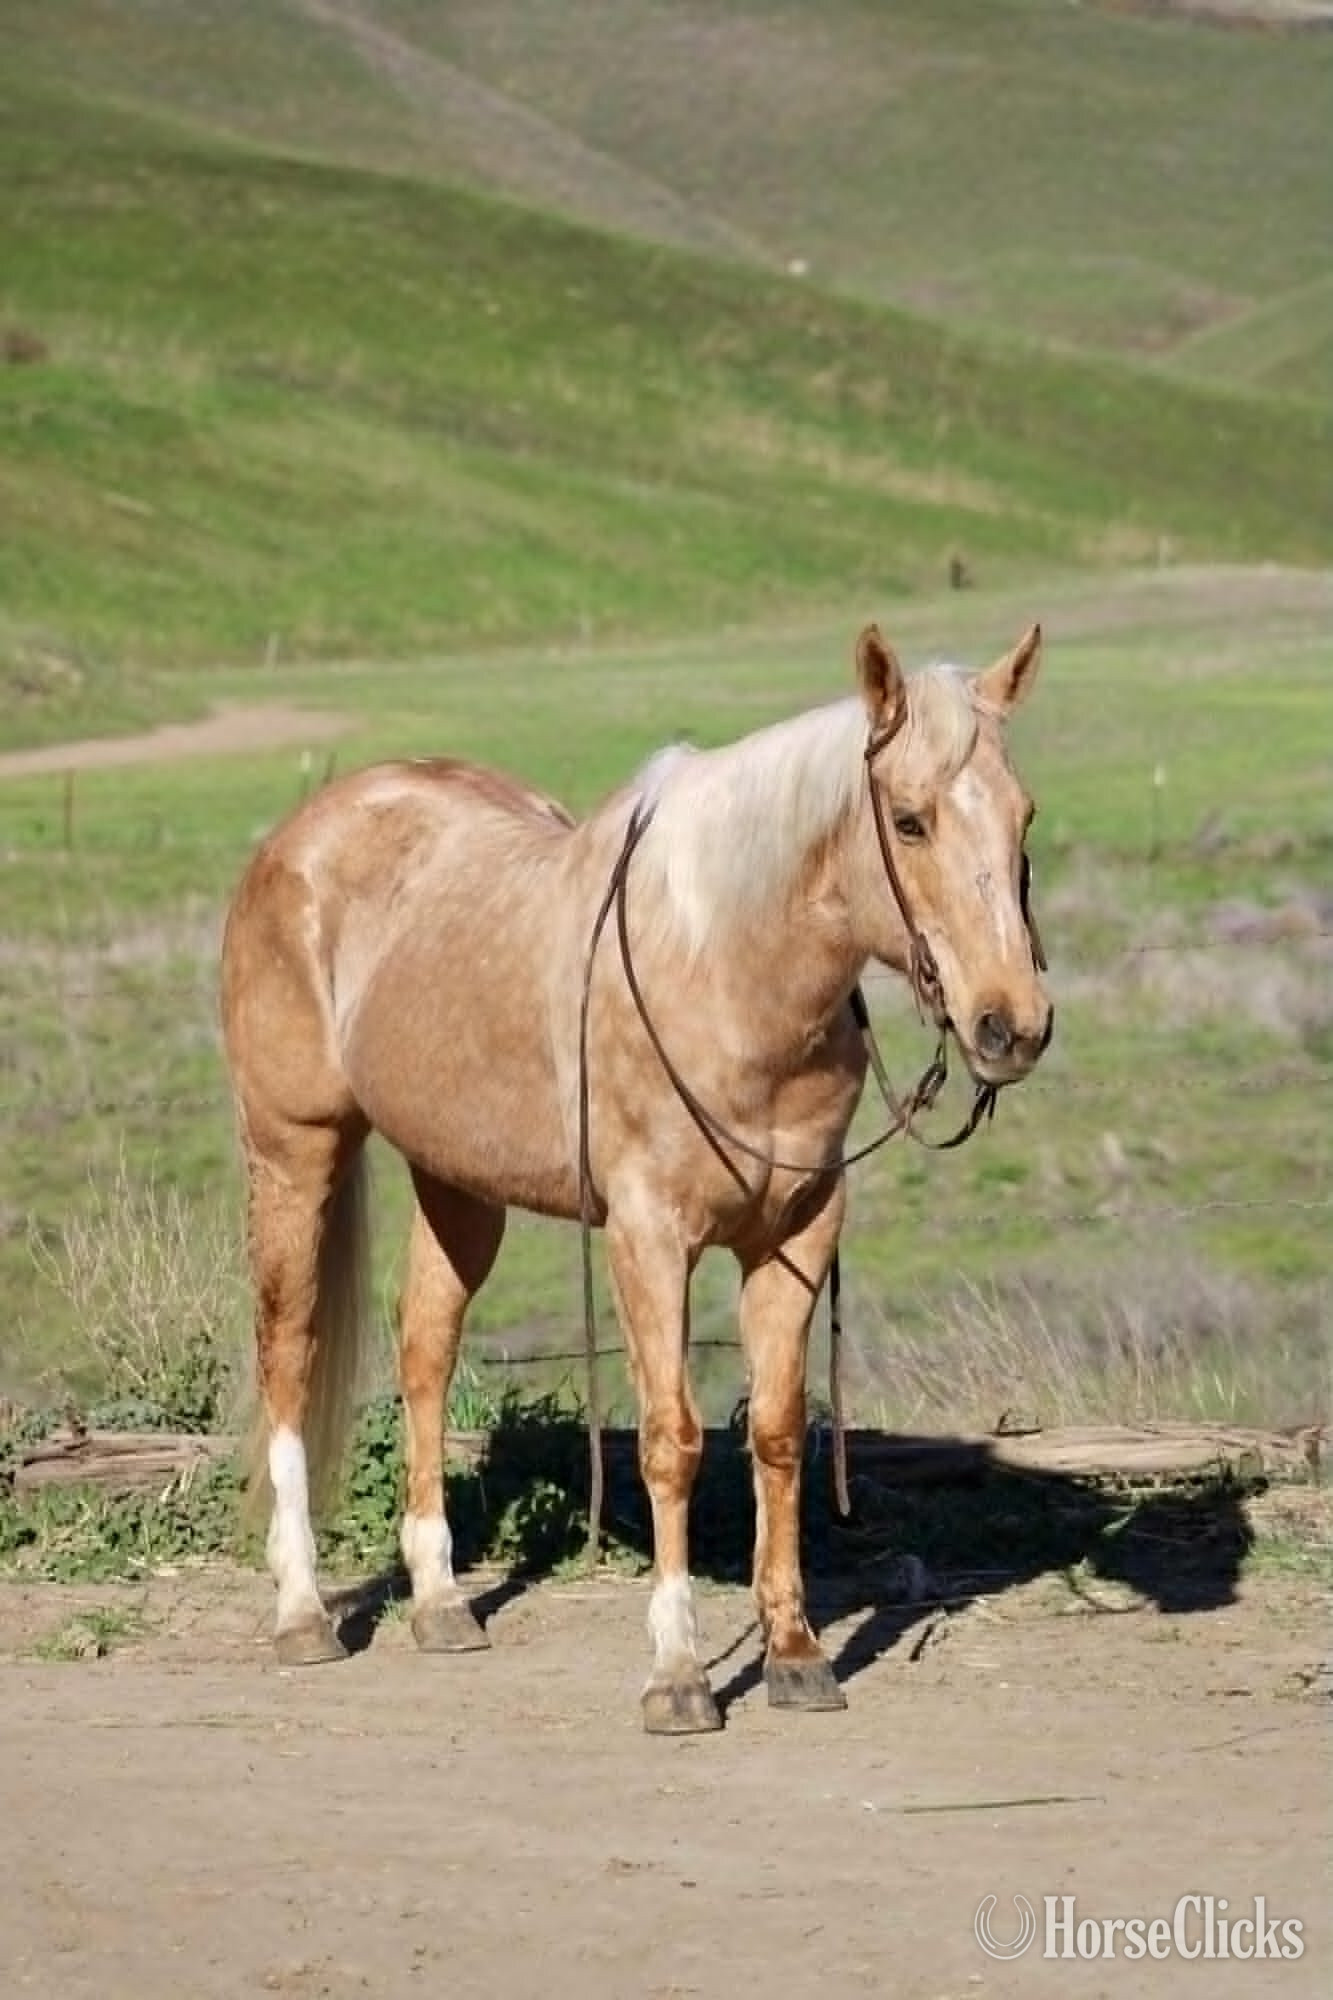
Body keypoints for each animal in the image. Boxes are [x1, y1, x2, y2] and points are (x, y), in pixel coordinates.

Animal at [220, 621, 1053, 1733]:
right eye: (909, 820)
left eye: (1021, 814)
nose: (1011, 1024)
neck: (725, 968)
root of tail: (301, 833)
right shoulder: (649, 1238)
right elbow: (671, 1440)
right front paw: (678, 1672)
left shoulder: (795, 1235)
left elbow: (777, 1434)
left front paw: (794, 1654)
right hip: (294, 1149)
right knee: (289, 1349)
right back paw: (302, 1610)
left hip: (457, 1184)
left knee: (424, 1351)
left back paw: (440, 1599)